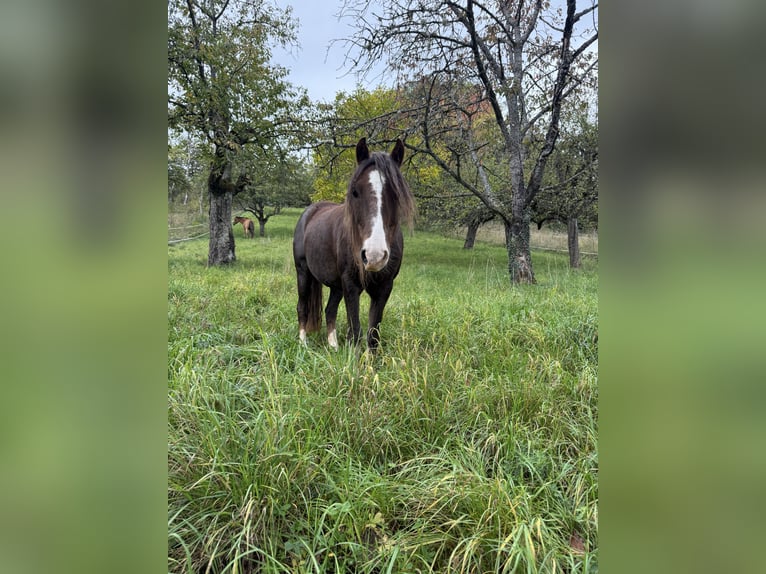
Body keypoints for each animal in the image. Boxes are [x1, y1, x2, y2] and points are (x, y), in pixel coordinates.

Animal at [293, 137, 415, 351]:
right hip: (303, 273)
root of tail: (310, 211)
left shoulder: (384, 287)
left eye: (397, 194)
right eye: (355, 192)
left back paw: (333, 346)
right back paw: (303, 344)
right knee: (302, 307)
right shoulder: (350, 285)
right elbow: (356, 332)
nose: (374, 255)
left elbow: (372, 336)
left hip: (335, 285)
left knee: (330, 310)